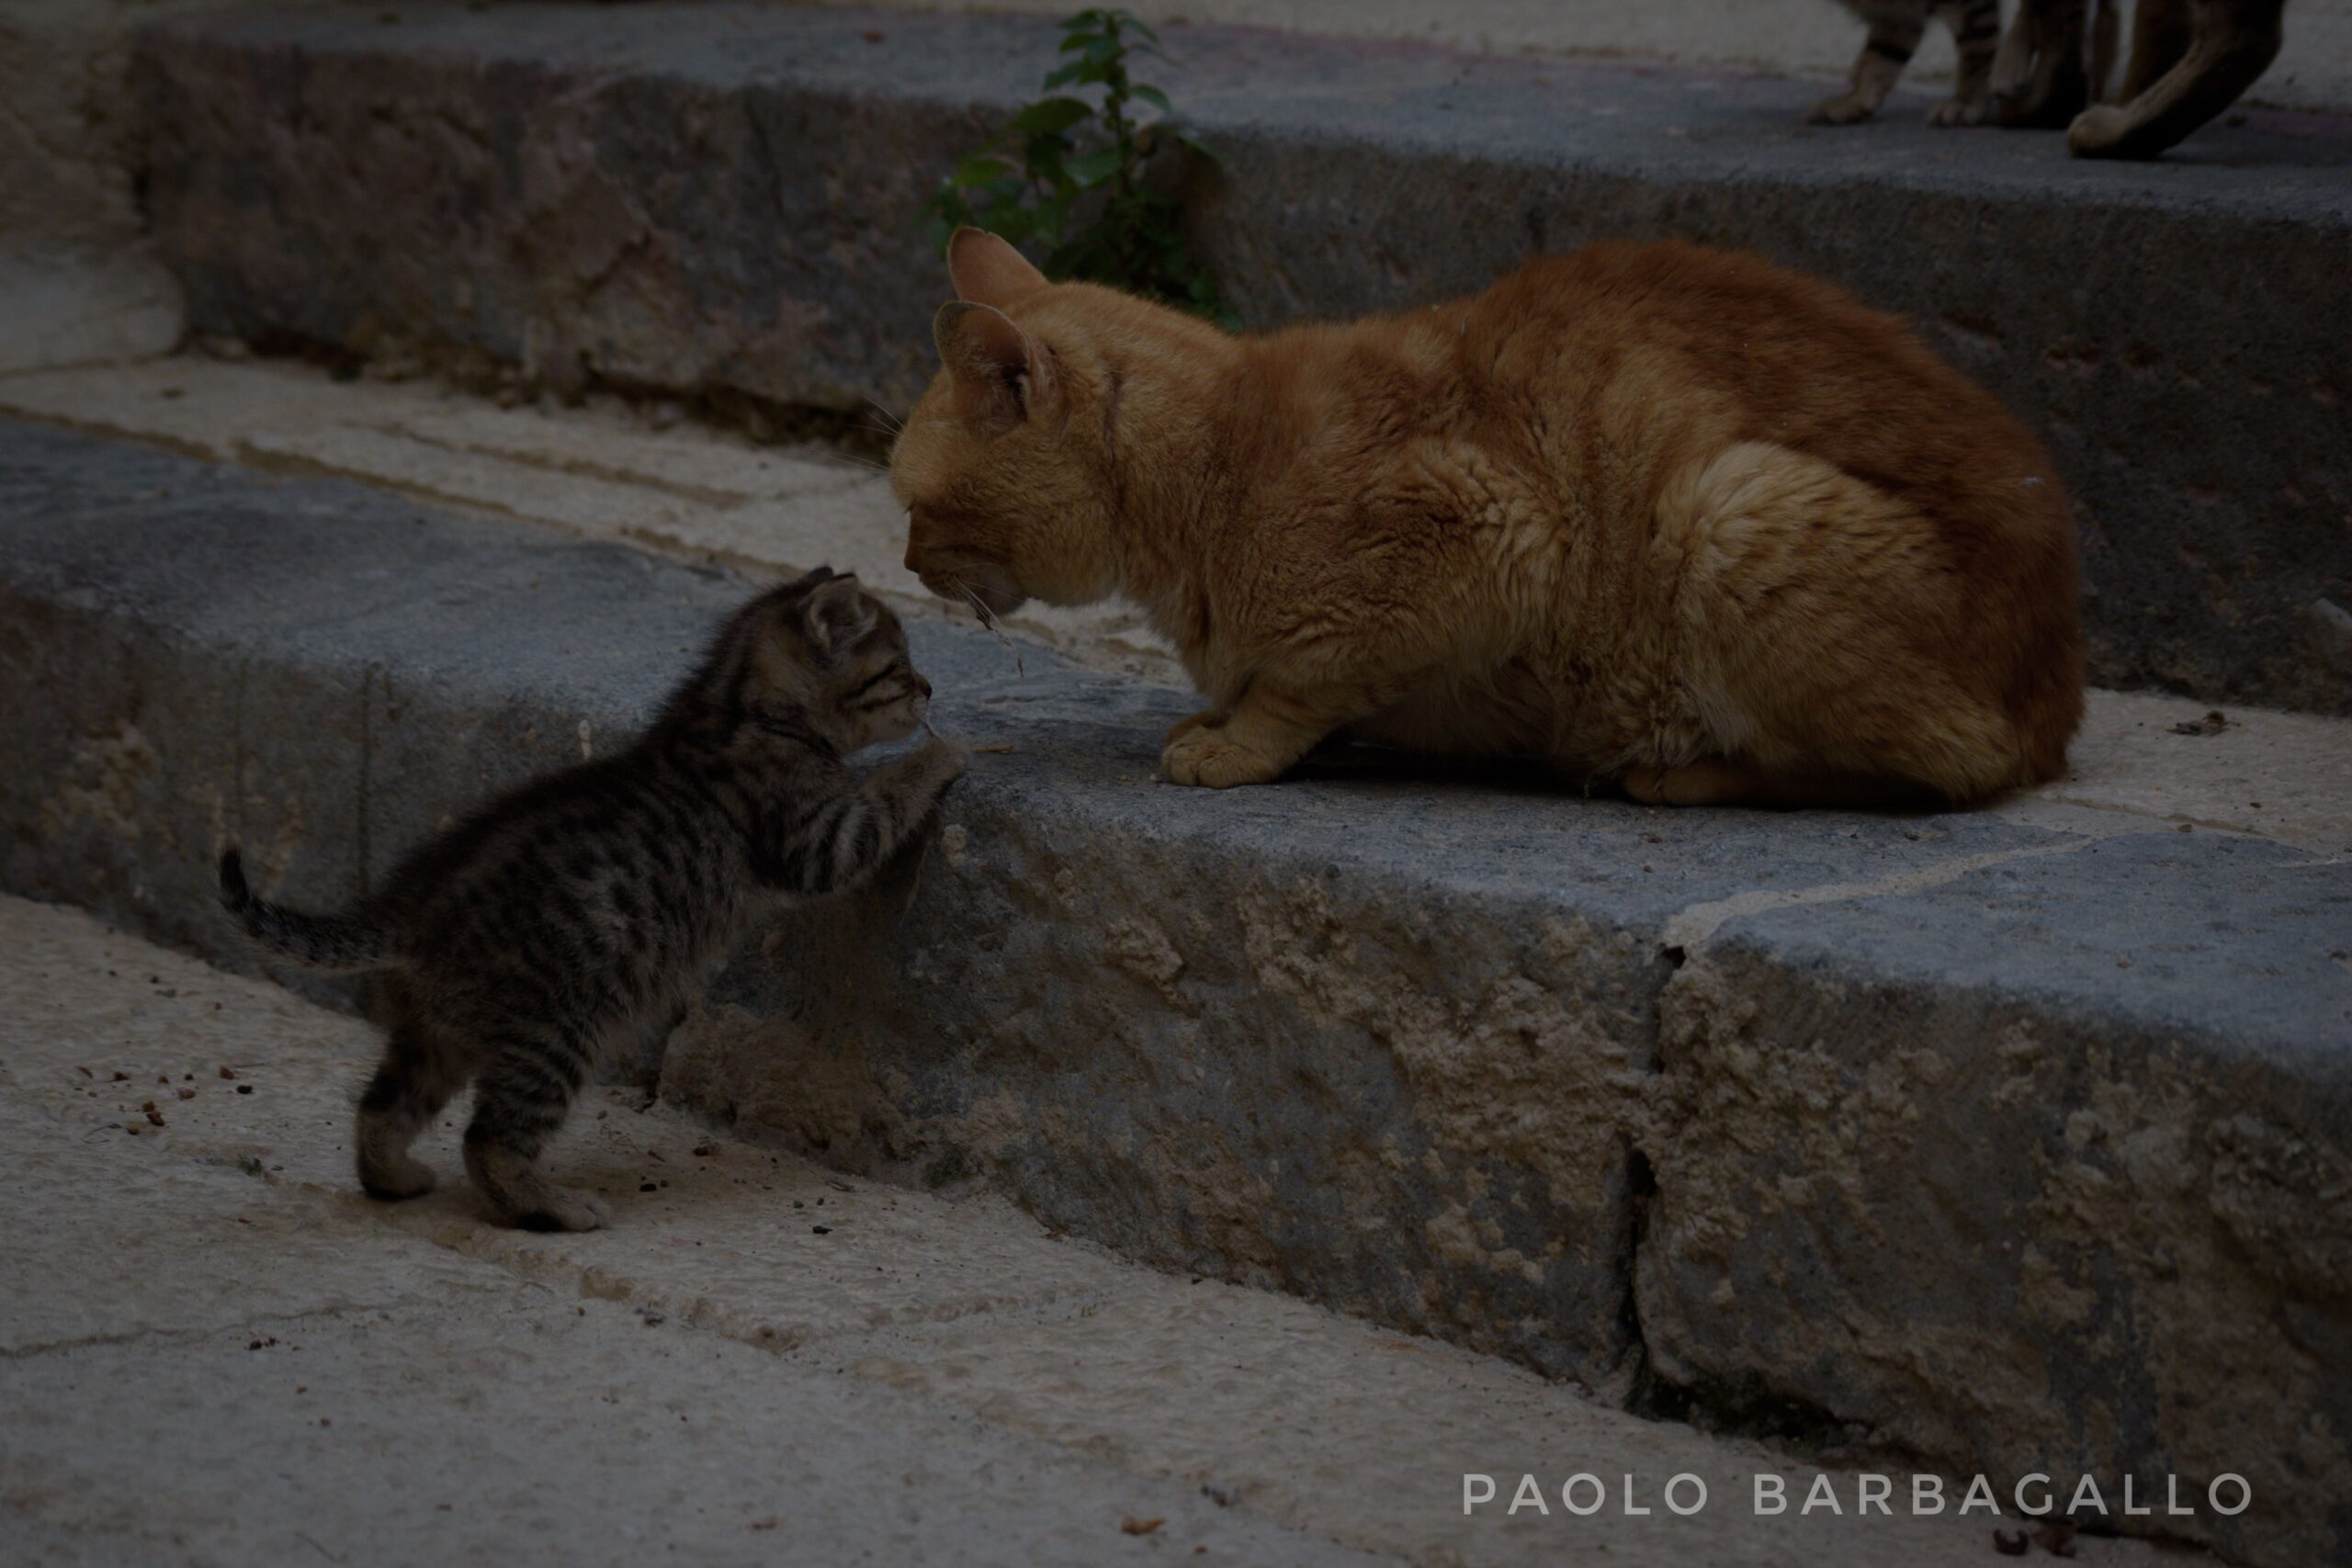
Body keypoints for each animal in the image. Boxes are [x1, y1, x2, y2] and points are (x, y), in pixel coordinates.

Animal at [216, 570, 959, 1232]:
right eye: (897, 666)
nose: (930, 687)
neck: (740, 708)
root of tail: (417, 906)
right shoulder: (814, 837)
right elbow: (882, 802)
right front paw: (947, 752)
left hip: (437, 1034)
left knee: (381, 1107)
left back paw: (394, 1179)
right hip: (555, 1034)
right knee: (489, 1139)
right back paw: (555, 1208)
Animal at [884, 230, 2079, 808]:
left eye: (909, 500)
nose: (899, 559)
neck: (1223, 459)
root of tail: (2057, 698)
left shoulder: (1494, 533)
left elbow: (1298, 685)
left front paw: (1231, 743)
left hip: (1730, 511)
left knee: (1939, 773)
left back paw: (1678, 771)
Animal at [1796, 0, 2004, 123]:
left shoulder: (1973, 6)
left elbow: (1975, 54)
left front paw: (1965, 102)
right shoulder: (1898, 17)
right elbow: (1879, 60)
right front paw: (1855, 101)